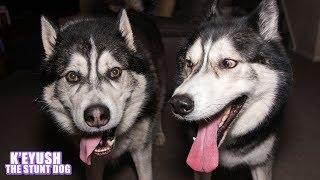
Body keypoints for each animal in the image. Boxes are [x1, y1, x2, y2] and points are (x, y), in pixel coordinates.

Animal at [39, 9, 166, 180]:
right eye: (72, 76)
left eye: (115, 72)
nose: (97, 115)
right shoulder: (92, 163)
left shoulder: (141, 151)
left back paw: (158, 133)